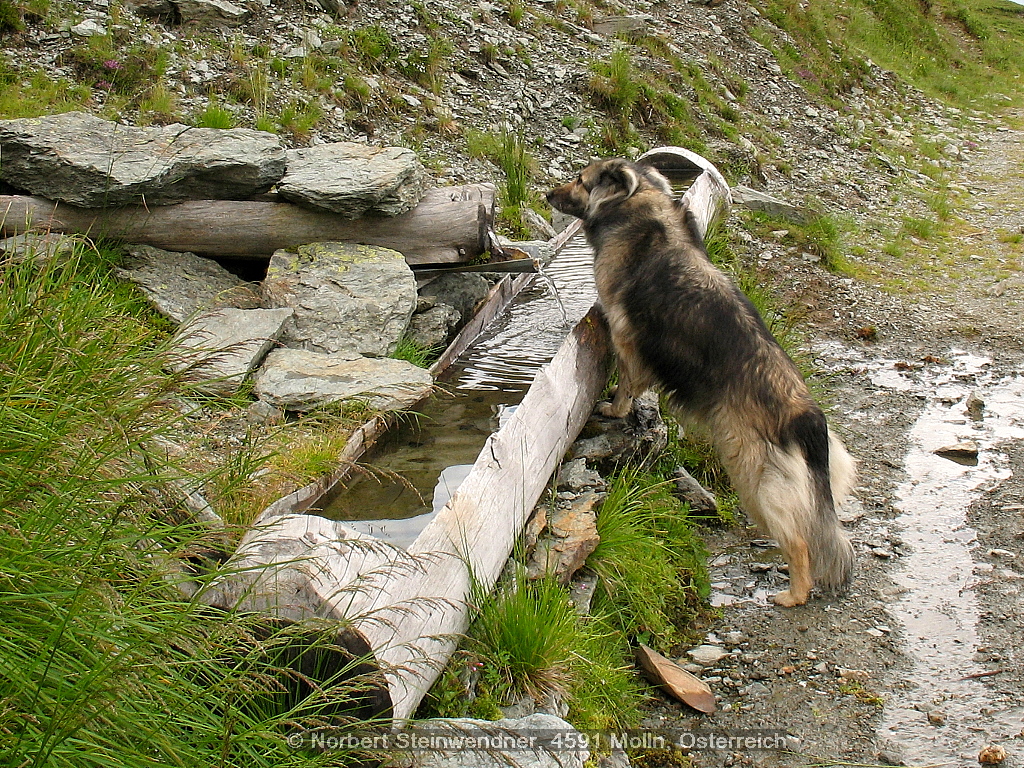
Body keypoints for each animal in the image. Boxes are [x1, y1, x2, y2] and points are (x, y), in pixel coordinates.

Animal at [544, 160, 856, 606]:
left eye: (582, 181)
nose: (548, 195)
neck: (640, 208)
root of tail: (804, 412)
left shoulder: (626, 336)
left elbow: (628, 380)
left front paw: (615, 408)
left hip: (755, 476)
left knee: (798, 540)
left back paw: (794, 593)